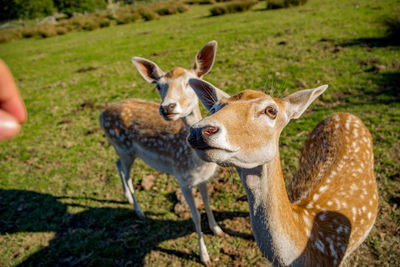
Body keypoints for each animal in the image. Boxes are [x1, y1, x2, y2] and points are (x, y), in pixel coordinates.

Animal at [99, 40, 225, 266]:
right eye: (159, 86)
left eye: (189, 82)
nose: (167, 107)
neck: (196, 162)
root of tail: (100, 115)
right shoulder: (182, 178)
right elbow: (195, 216)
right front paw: (204, 256)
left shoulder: (202, 179)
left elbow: (208, 204)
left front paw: (218, 230)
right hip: (124, 147)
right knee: (126, 172)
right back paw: (139, 211)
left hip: (122, 149)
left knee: (117, 164)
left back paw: (127, 198)